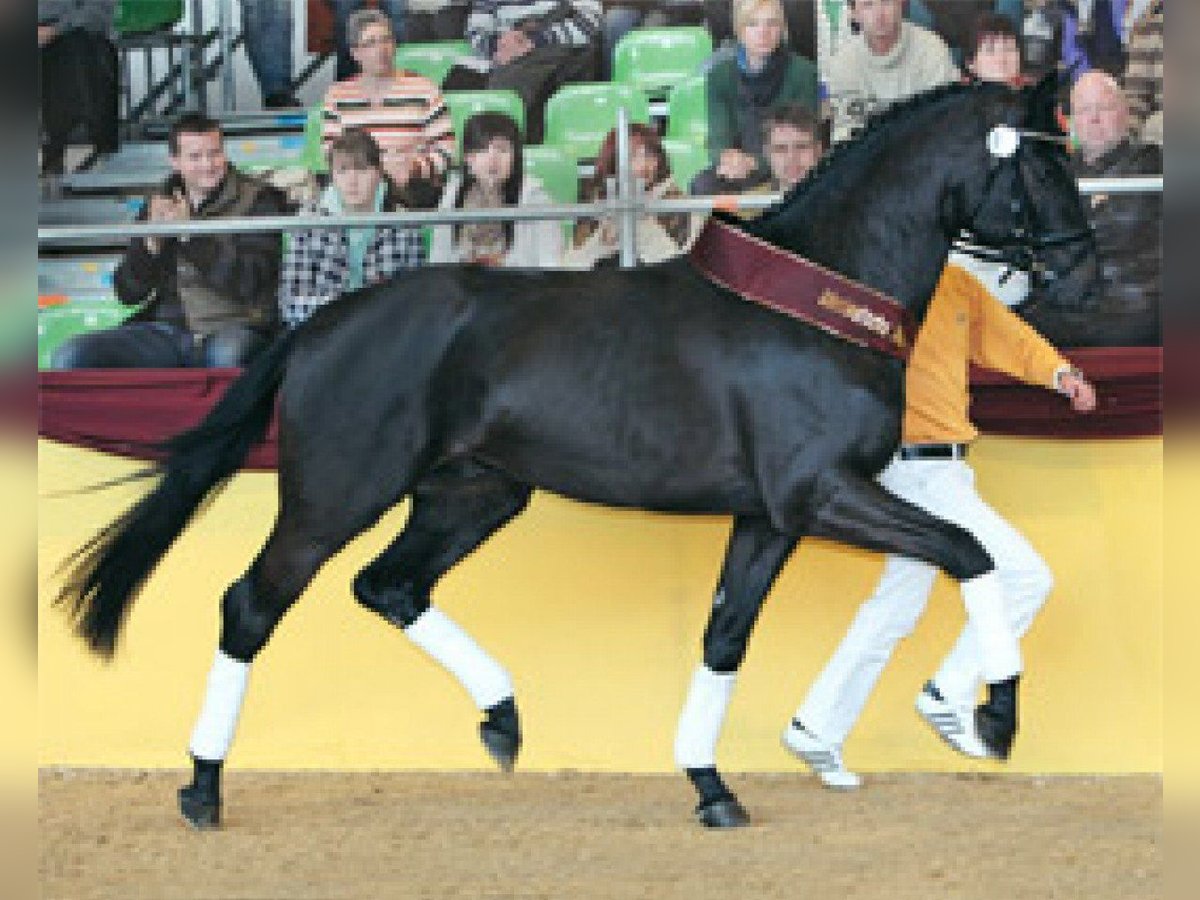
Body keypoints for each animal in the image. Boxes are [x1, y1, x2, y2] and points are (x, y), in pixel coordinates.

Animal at [57, 77, 1097, 830]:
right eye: (1043, 172)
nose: (1082, 268)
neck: (816, 304)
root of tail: (320, 325)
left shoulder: (770, 515)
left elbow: (725, 637)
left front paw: (711, 787)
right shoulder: (820, 493)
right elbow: (970, 551)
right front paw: (990, 716)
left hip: (473, 495)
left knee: (389, 586)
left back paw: (503, 719)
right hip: (333, 497)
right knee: (252, 604)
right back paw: (201, 788)